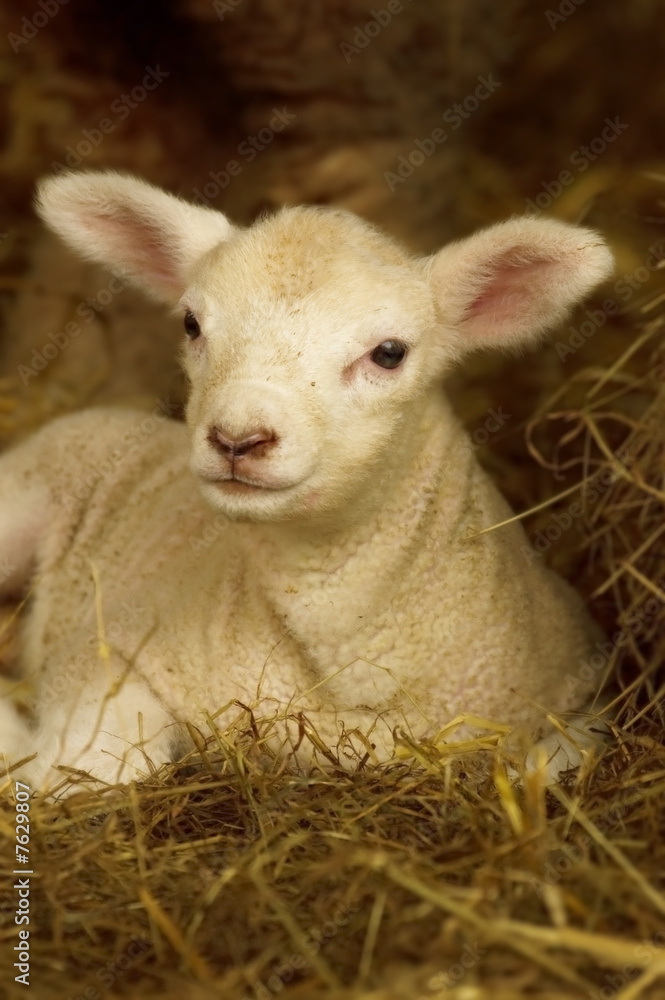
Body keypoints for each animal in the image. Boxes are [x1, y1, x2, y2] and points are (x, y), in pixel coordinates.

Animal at [0, 171, 615, 792]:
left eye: (389, 353)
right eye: (192, 324)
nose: (237, 437)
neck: (342, 671)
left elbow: (556, 758)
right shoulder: (105, 647)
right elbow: (104, 764)